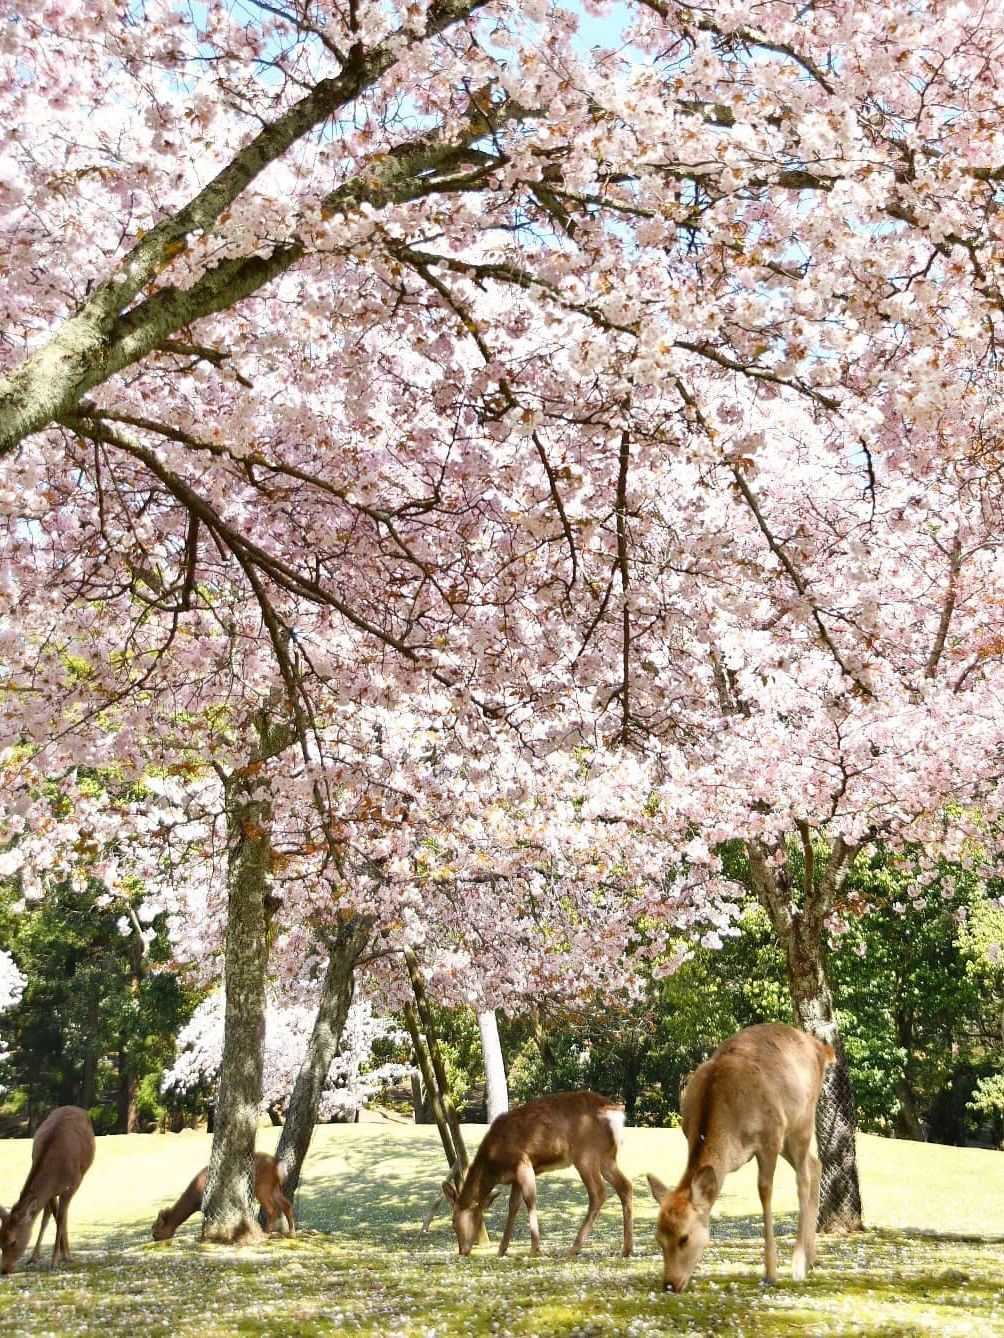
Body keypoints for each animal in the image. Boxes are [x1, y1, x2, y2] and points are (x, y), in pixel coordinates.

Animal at [0, 1102, 96, 1279]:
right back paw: (36, 1256)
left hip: (82, 1174)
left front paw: (57, 1260)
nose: (4, 1270)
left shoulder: (72, 1184)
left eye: (13, 1241)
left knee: (64, 1213)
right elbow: (51, 1217)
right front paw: (53, 1256)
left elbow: (61, 1218)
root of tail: (74, 1107)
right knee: (49, 1214)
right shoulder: (50, 1192)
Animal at [151, 1150, 294, 1241]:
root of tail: (278, 1164)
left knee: (272, 1209)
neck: (195, 1198)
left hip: (263, 1187)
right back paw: (291, 1234)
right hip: (274, 1187)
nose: (155, 1238)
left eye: (155, 1230)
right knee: (286, 1205)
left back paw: (266, 1233)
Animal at [444, 1091, 631, 1257]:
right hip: (607, 1157)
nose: (463, 1251)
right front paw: (501, 1250)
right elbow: (513, 1206)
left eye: (453, 1222)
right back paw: (626, 1249)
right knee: (625, 1187)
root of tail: (615, 1113)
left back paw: (573, 1248)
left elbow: (530, 1200)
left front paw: (534, 1249)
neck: (493, 1166)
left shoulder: (523, 1162)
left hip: (586, 1155)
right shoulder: (514, 1176)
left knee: (598, 1193)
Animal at [647, 1022, 835, 1295]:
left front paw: (770, 1273)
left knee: (804, 1177)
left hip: (802, 1120)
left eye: (684, 1237)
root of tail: (822, 1048)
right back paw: (811, 1259)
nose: (670, 1284)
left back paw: (799, 1264)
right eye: (659, 1238)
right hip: (789, 1137)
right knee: (815, 1163)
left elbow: (765, 1192)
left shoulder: (769, 1136)